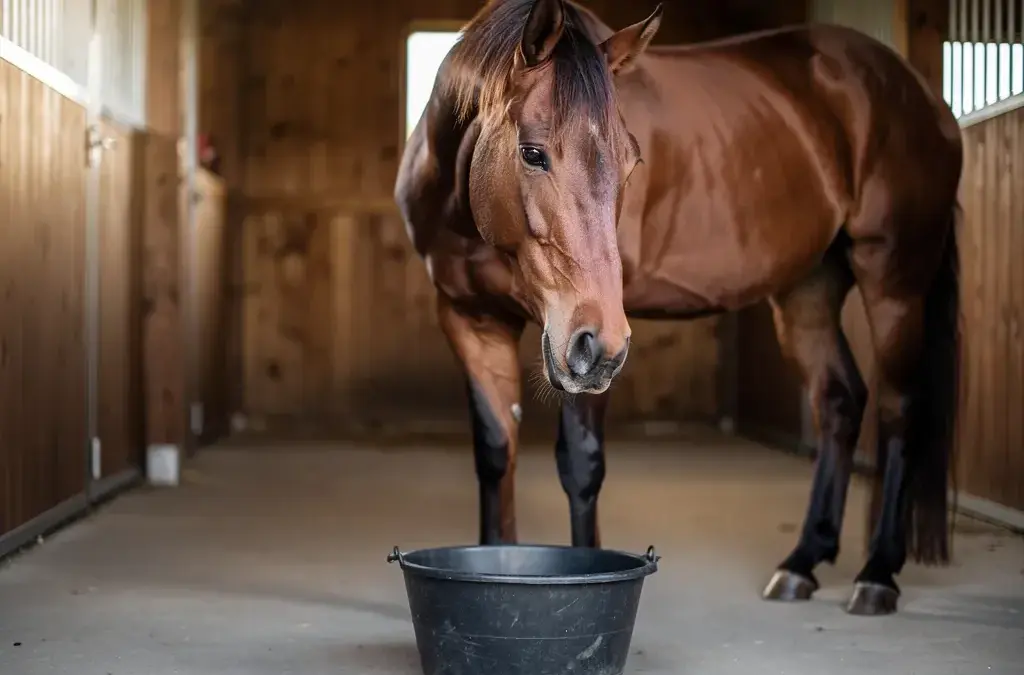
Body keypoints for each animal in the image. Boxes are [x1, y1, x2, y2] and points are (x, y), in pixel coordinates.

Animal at [394, 0, 962, 616]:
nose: (599, 347)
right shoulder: (472, 320)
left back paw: (878, 574)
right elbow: (497, 455)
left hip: (893, 279)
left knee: (899, 407)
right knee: (839, 400)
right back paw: (802, 563)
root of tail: (924, 96)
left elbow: (581, 466)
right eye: (532, 153)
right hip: (807, 288)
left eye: (632, 162)